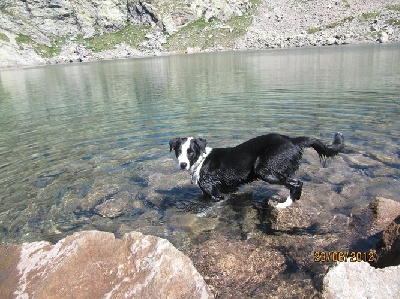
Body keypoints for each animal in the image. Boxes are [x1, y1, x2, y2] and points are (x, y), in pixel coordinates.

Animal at [169, 134, 344, 209]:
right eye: (178, 151)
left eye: (191, 152)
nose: (183, 164)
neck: (201, 160)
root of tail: (291, 140)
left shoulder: (215, 193)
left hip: (264, 169)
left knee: (296, 183)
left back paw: (286, 203)